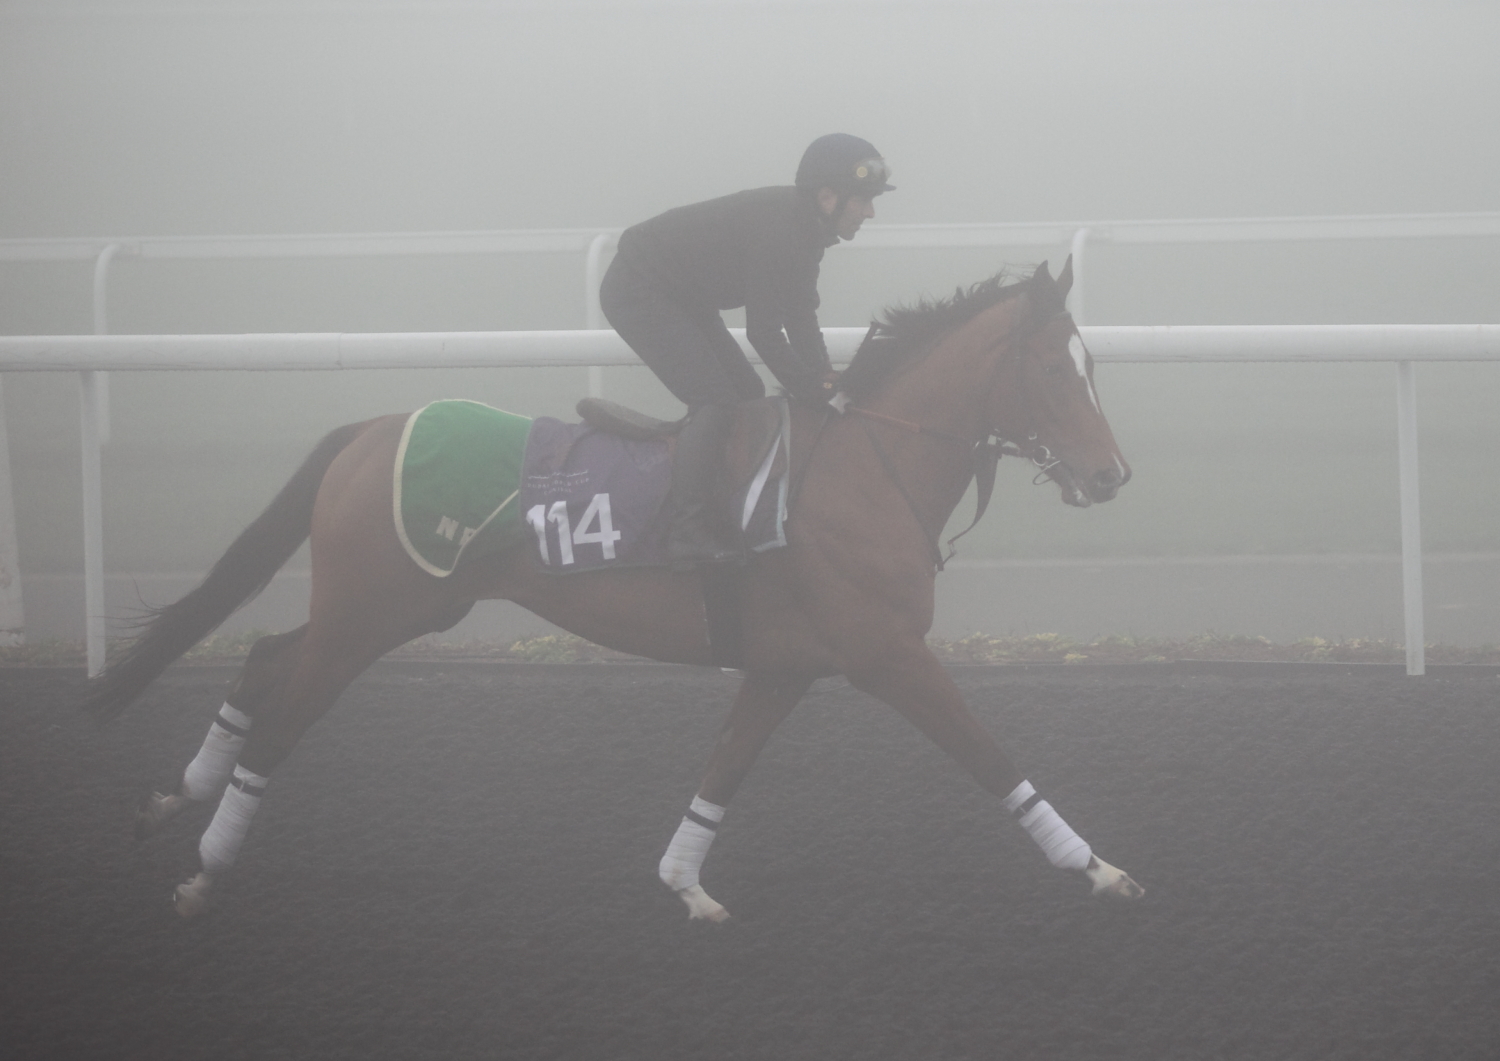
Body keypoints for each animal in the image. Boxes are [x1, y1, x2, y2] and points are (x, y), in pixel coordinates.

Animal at [87, 259, 1140, 918]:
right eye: (1054, 369)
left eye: (1092, 365)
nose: (1111, 476)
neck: (861, 466)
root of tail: (372, 428)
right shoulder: (888, 654)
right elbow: (991, 755)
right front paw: (1097, 868)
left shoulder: (787, 664)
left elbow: (725, 767)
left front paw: (686, 884)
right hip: (371, 614)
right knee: (279, 720)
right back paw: (204, 870)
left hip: (400, 605)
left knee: (265, 659)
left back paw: (171, 800)